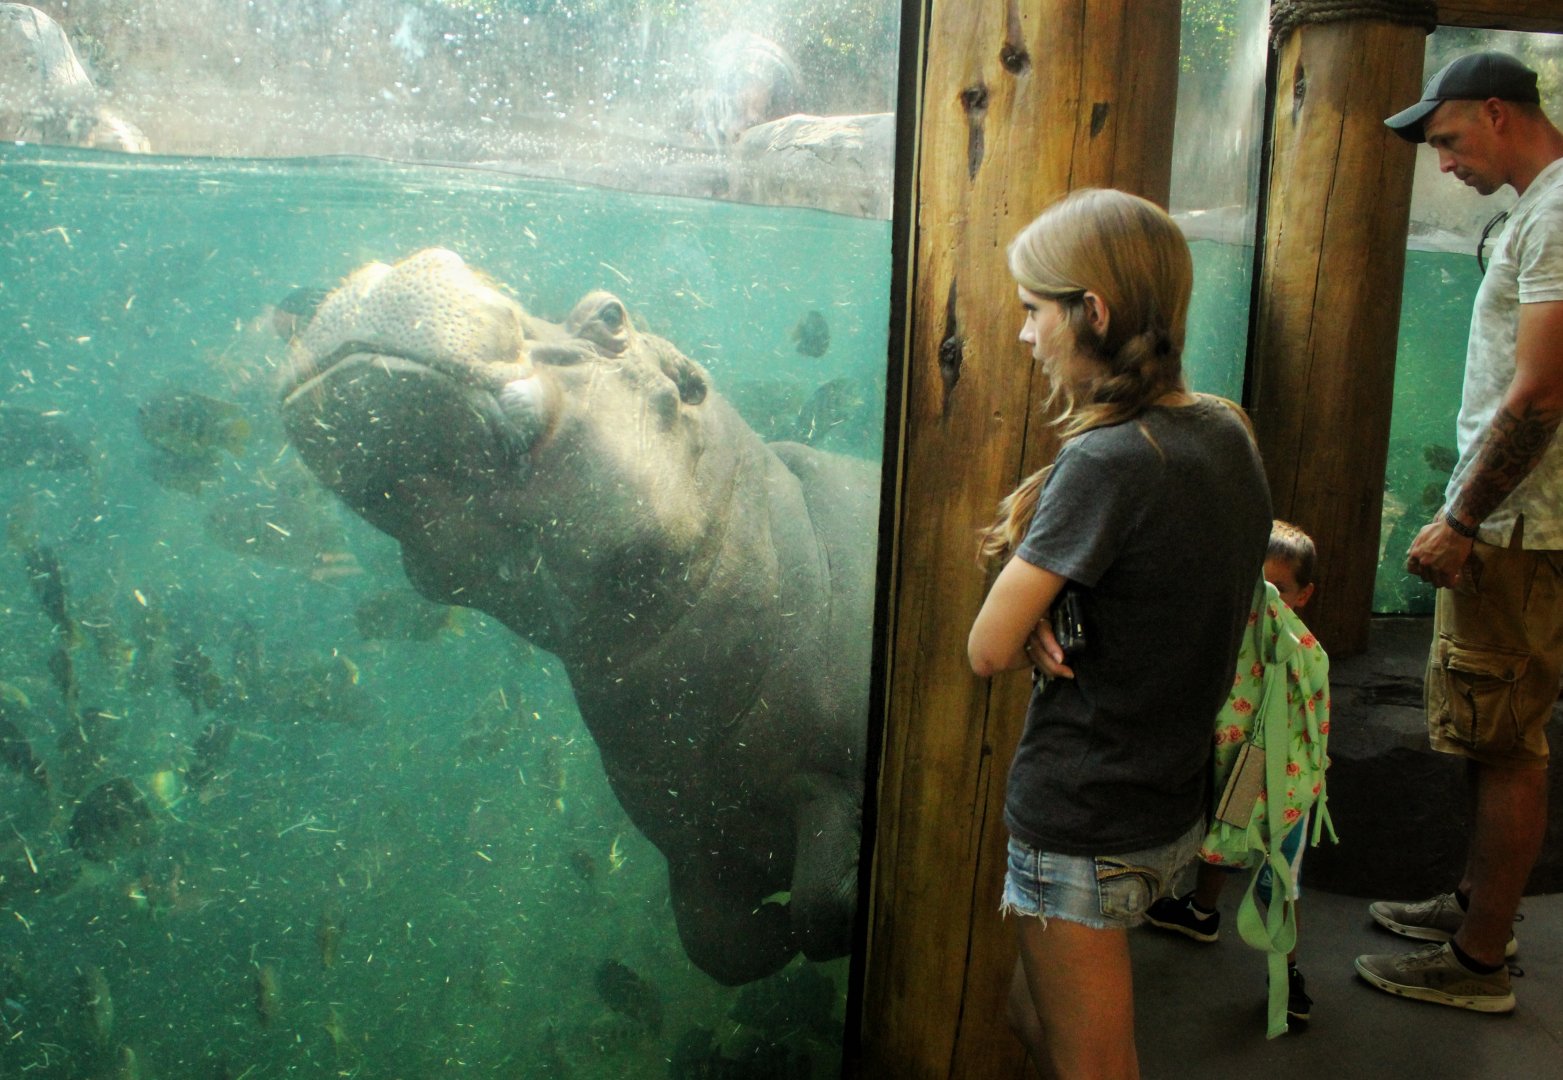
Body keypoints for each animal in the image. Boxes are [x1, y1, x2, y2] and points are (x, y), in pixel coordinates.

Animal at [279, 249, 877, 984]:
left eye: (610, 315)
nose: (391, 264)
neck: (775, 534)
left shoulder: (829, 782)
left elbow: (822, 900)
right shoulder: (698, 846)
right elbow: (722, 949)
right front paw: (778, 930)